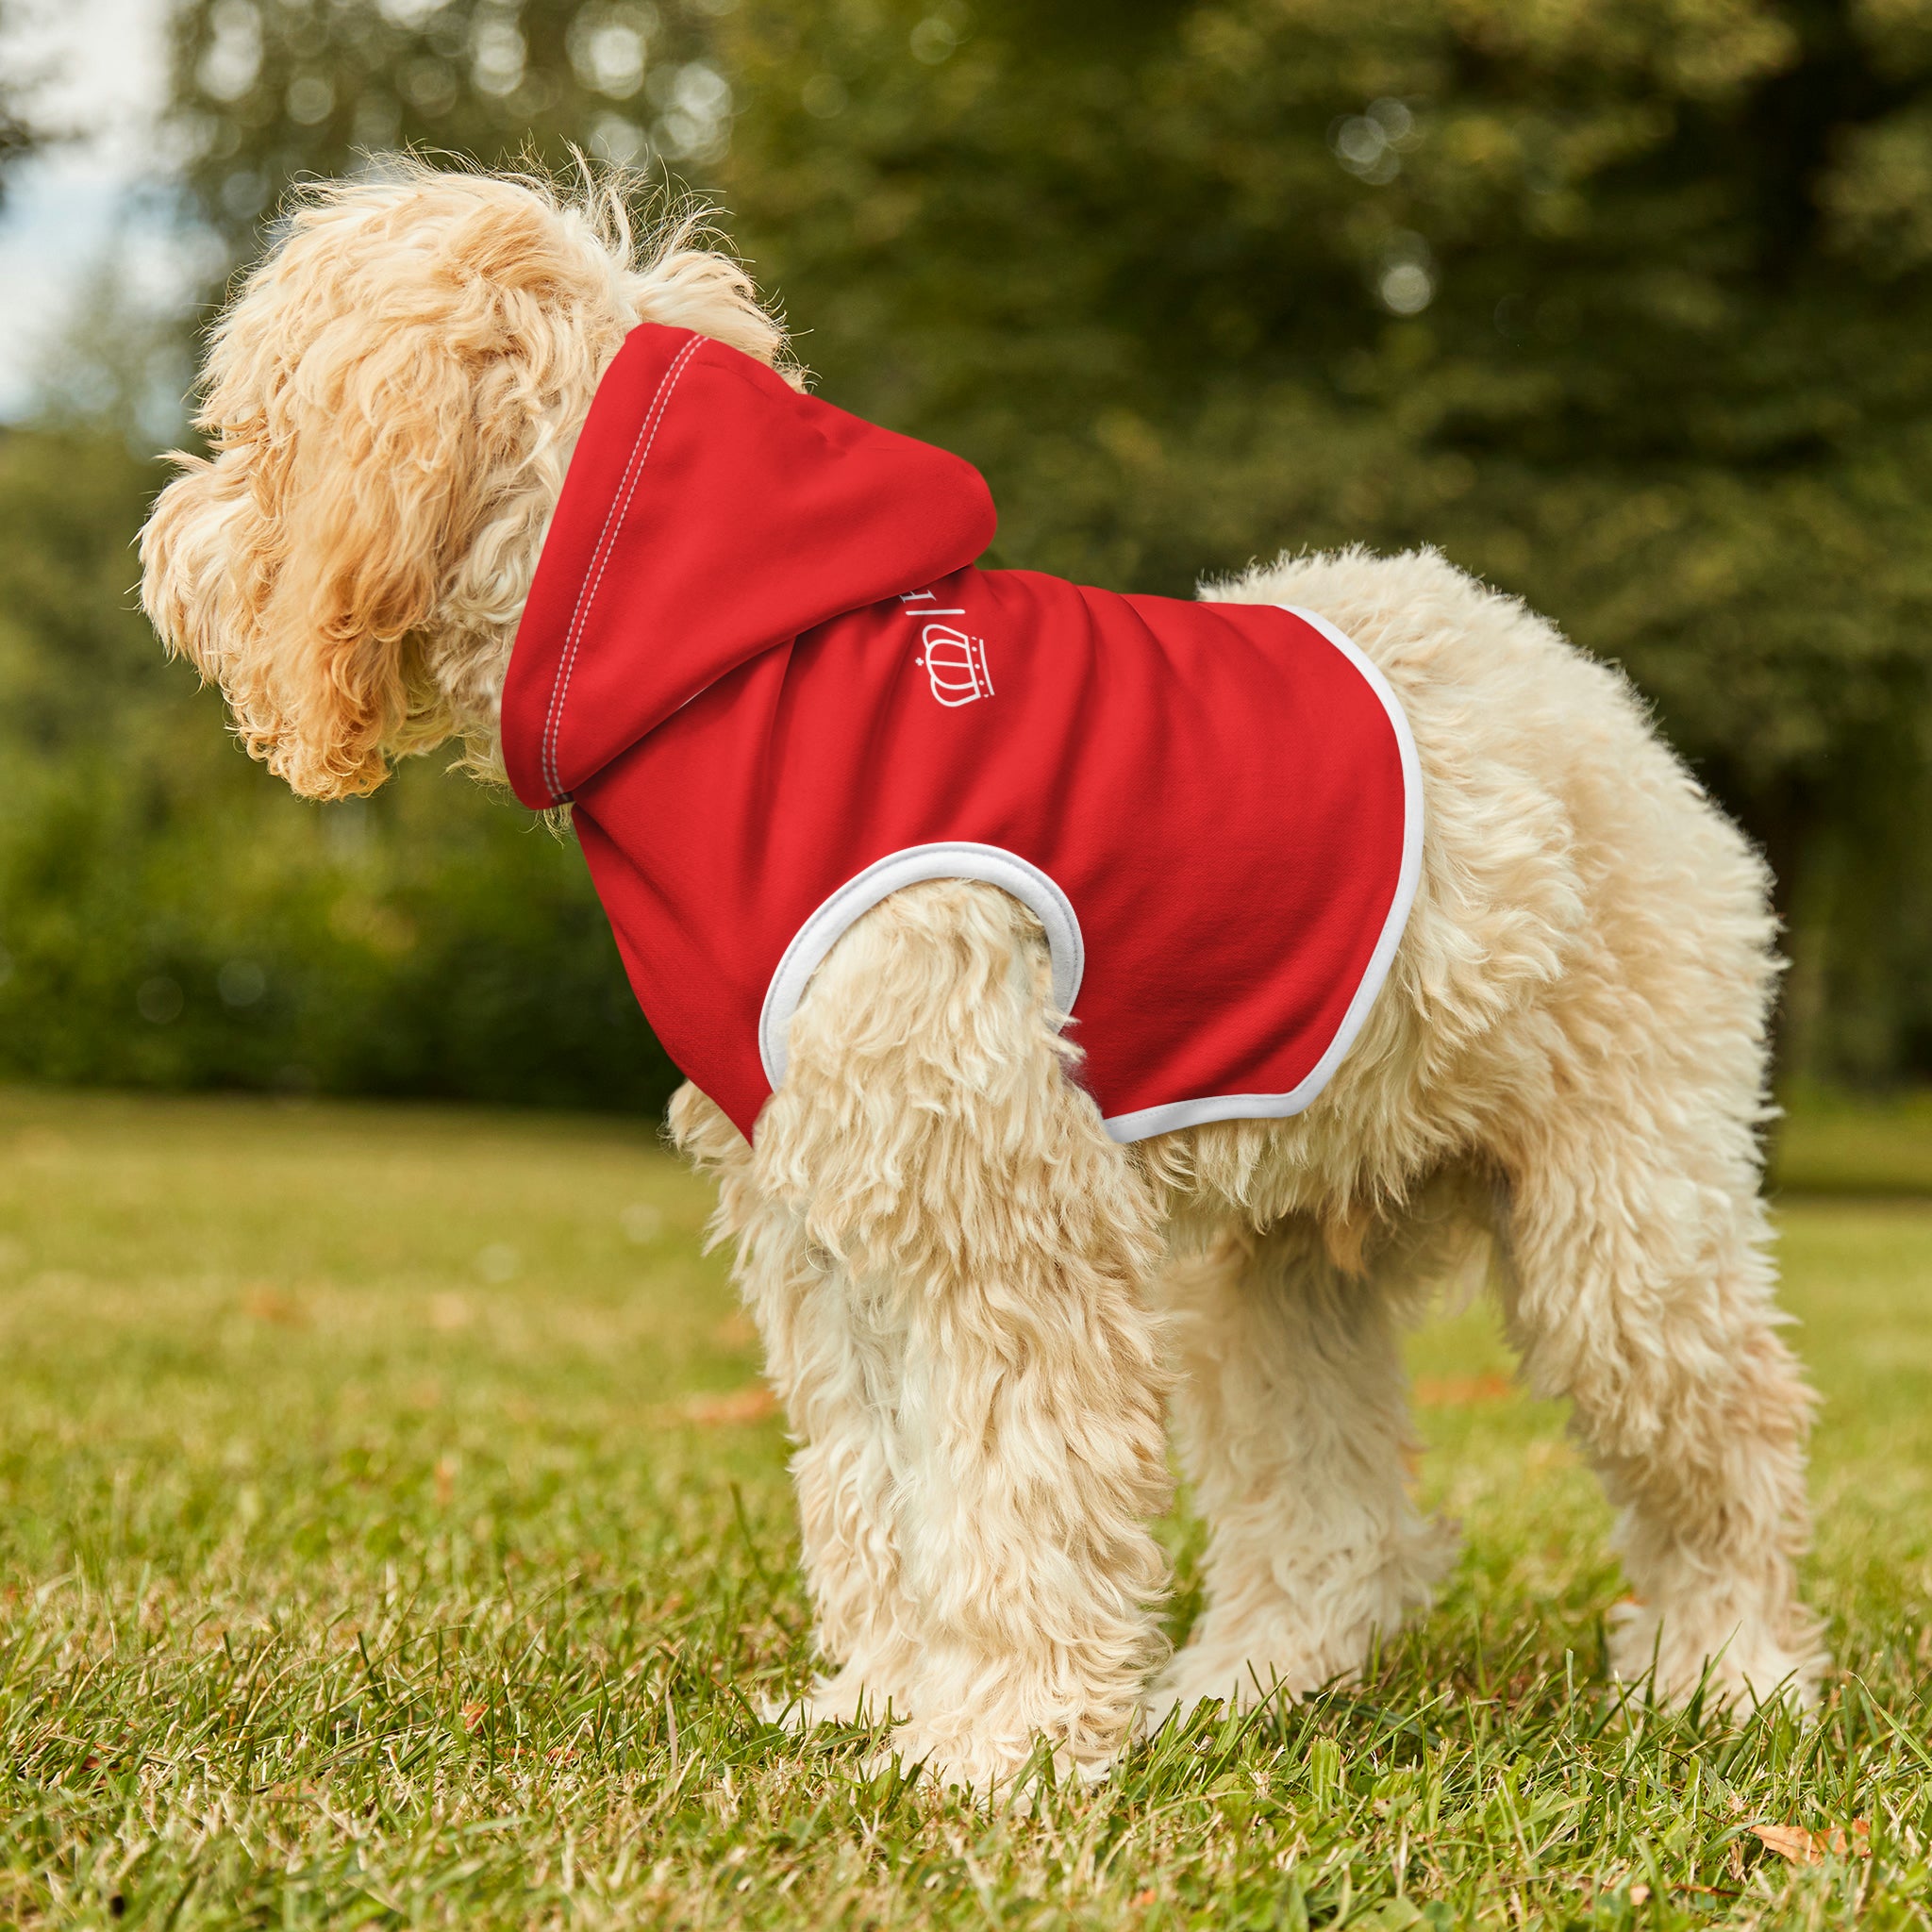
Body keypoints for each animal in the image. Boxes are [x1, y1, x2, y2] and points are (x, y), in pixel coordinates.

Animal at [142, 166, 1816, 1792]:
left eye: (254, 430)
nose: (164, 547)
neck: (727, 670)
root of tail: (1586, 692)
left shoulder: (992, 1209)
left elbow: (1014, 1492)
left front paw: (998, 1746)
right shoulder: (825, 1219)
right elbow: (878, 1488)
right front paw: (884, 1704)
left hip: (1623, 1225)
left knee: (1732, 1439)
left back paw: (1728, 1677)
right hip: (1273, 1271)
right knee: (1335, 1519)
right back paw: (1245, 1688)